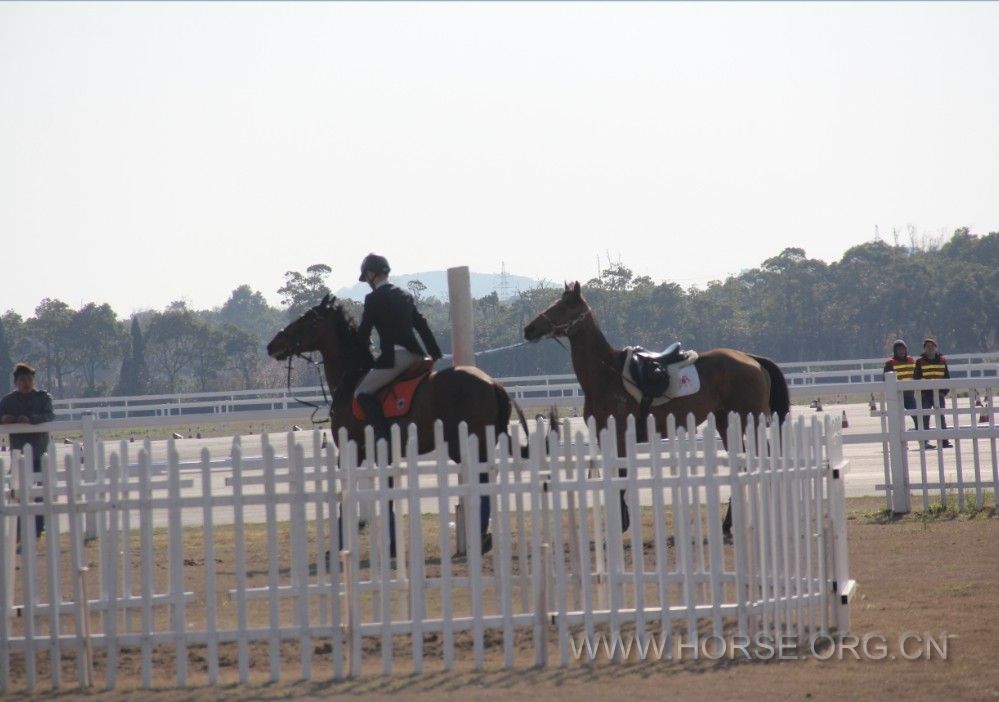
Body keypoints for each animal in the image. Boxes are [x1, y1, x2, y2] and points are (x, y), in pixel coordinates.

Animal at [524, 280, 788, 532]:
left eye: (565, 306)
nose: (529, 329)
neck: (607, 374)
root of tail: (752, 359)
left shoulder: (619, 436)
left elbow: (621, 477)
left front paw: (622, 524)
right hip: (726, 423)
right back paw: (728, 522)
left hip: (749, 420)